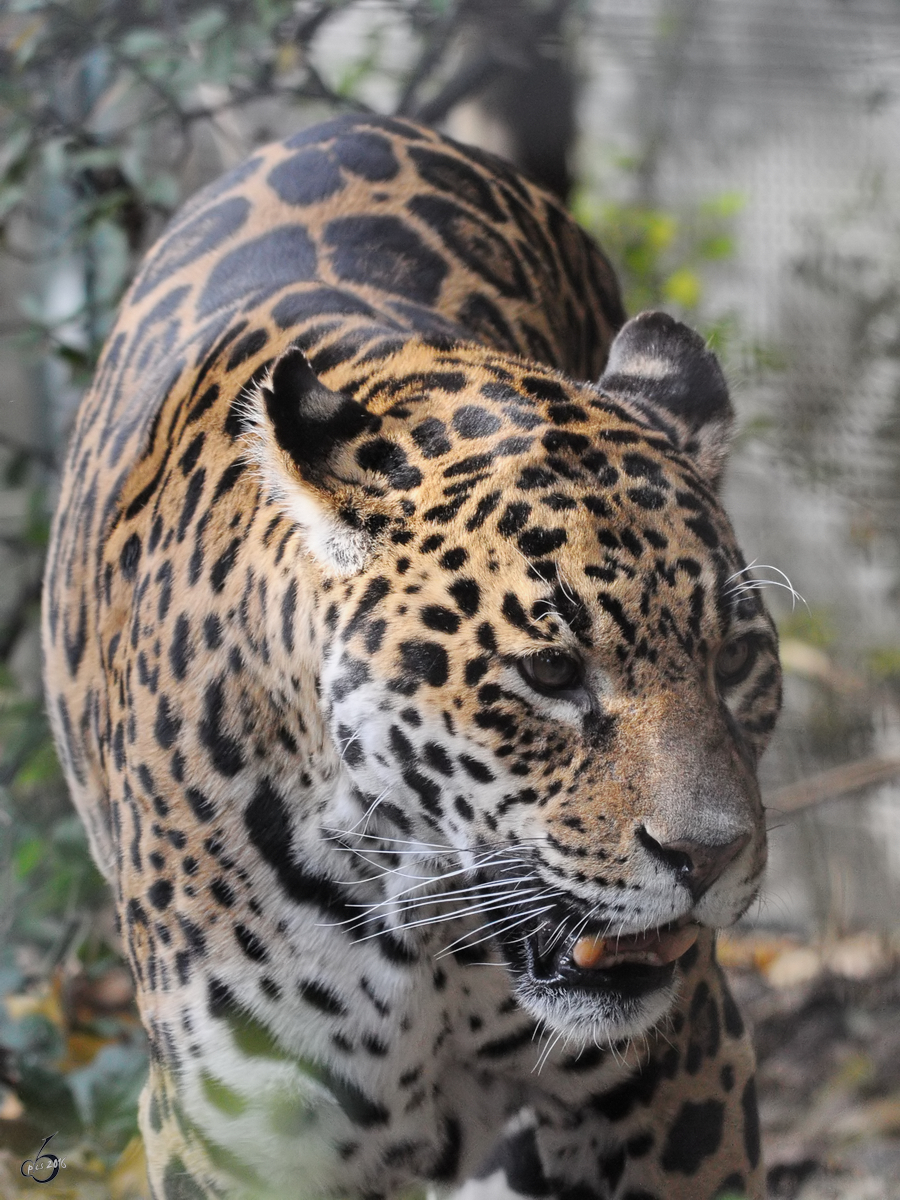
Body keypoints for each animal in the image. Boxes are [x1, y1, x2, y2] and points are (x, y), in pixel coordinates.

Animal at [44, 114, 782, 1200]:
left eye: (733, 661)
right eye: (551, 673)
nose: (711, 856)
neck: (424, 912)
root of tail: (348, 123)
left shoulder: (681, 1078)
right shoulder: (233, 1136)